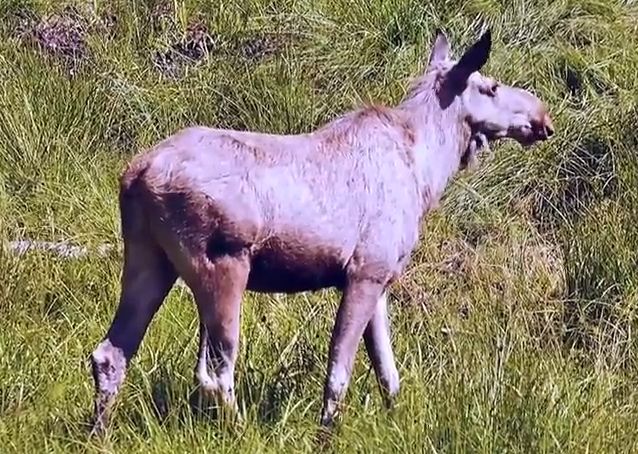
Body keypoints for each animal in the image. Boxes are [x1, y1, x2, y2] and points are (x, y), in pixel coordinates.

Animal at [90, 28, 556, 432]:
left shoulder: (382, 278)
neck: (427, 172)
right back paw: (241, 433)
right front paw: (326, 432)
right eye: (491, 86)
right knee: (217, 372)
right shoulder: (363, 272)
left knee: (110, 354)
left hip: (149, 258)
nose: (542, 117)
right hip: (222, 265)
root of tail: (136, 174)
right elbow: (339, 373)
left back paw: (99, 433)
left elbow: (388, 373)